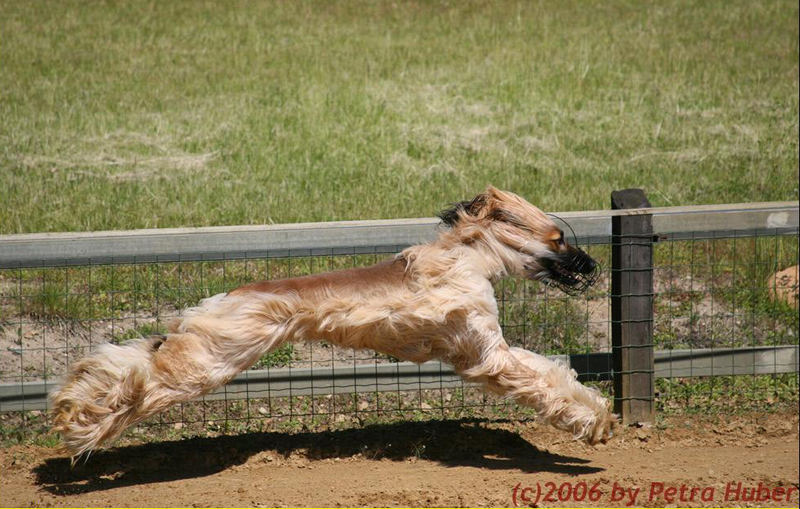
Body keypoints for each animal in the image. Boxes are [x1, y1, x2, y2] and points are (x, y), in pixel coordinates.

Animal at [53, 186, 616, 456]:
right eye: (558, 239)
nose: (592, 266)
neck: (469, 259)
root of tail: (224, 295)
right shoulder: (486, 353)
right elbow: (543, 382)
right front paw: (592, 422)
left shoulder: (486, 349)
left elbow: (552, 373)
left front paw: (602, 418)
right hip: (216, 356)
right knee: (140, 377)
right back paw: (79, 422)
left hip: (208, 349)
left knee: (127, 358)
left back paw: (76, 402)